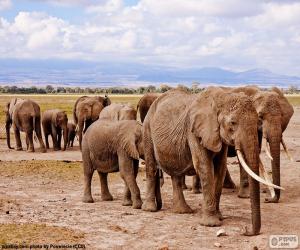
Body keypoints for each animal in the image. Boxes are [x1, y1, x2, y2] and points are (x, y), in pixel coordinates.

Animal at [142, 87, 282, 236]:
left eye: (258, 120)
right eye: (233, 123)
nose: (246, 230)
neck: (221, 98)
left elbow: (220, 168)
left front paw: (219, 216)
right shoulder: (194, 131)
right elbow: (204, 166)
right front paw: (211, 224)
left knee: (176, 175)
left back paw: (182, 211)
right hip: (147, 129)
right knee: (151, 166)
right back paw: (150, 209)